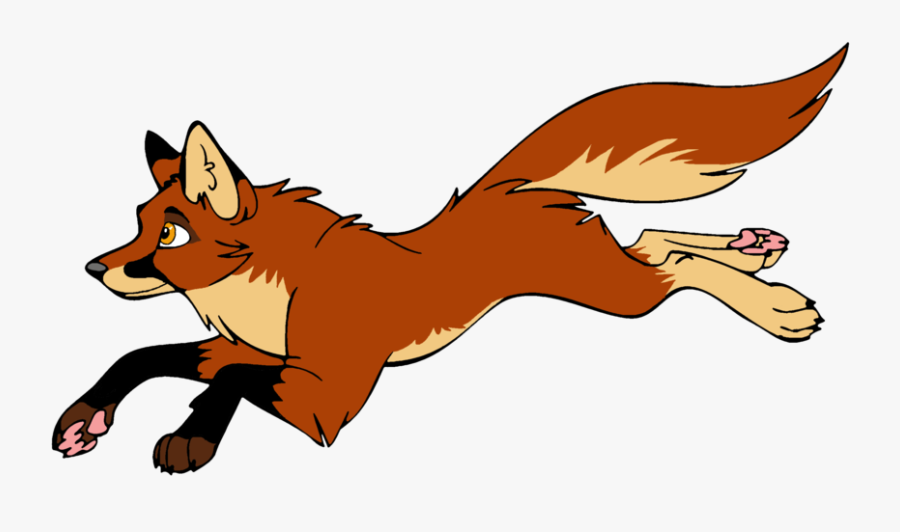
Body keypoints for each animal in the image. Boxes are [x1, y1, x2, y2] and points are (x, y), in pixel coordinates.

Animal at [53, 45, 845, 473]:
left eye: (170, 236)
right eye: (136, 224)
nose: (93, 268)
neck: (269, 293)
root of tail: (507, 186)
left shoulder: (323, 400)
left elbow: (230, 380)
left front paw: (191, 437)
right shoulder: (244, 350)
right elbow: (144, 355)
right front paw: (85, 418)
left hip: (612, 293)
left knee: (672, 265)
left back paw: (777, 306)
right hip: (610, 273)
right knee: (656, 239)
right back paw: (755, 249)